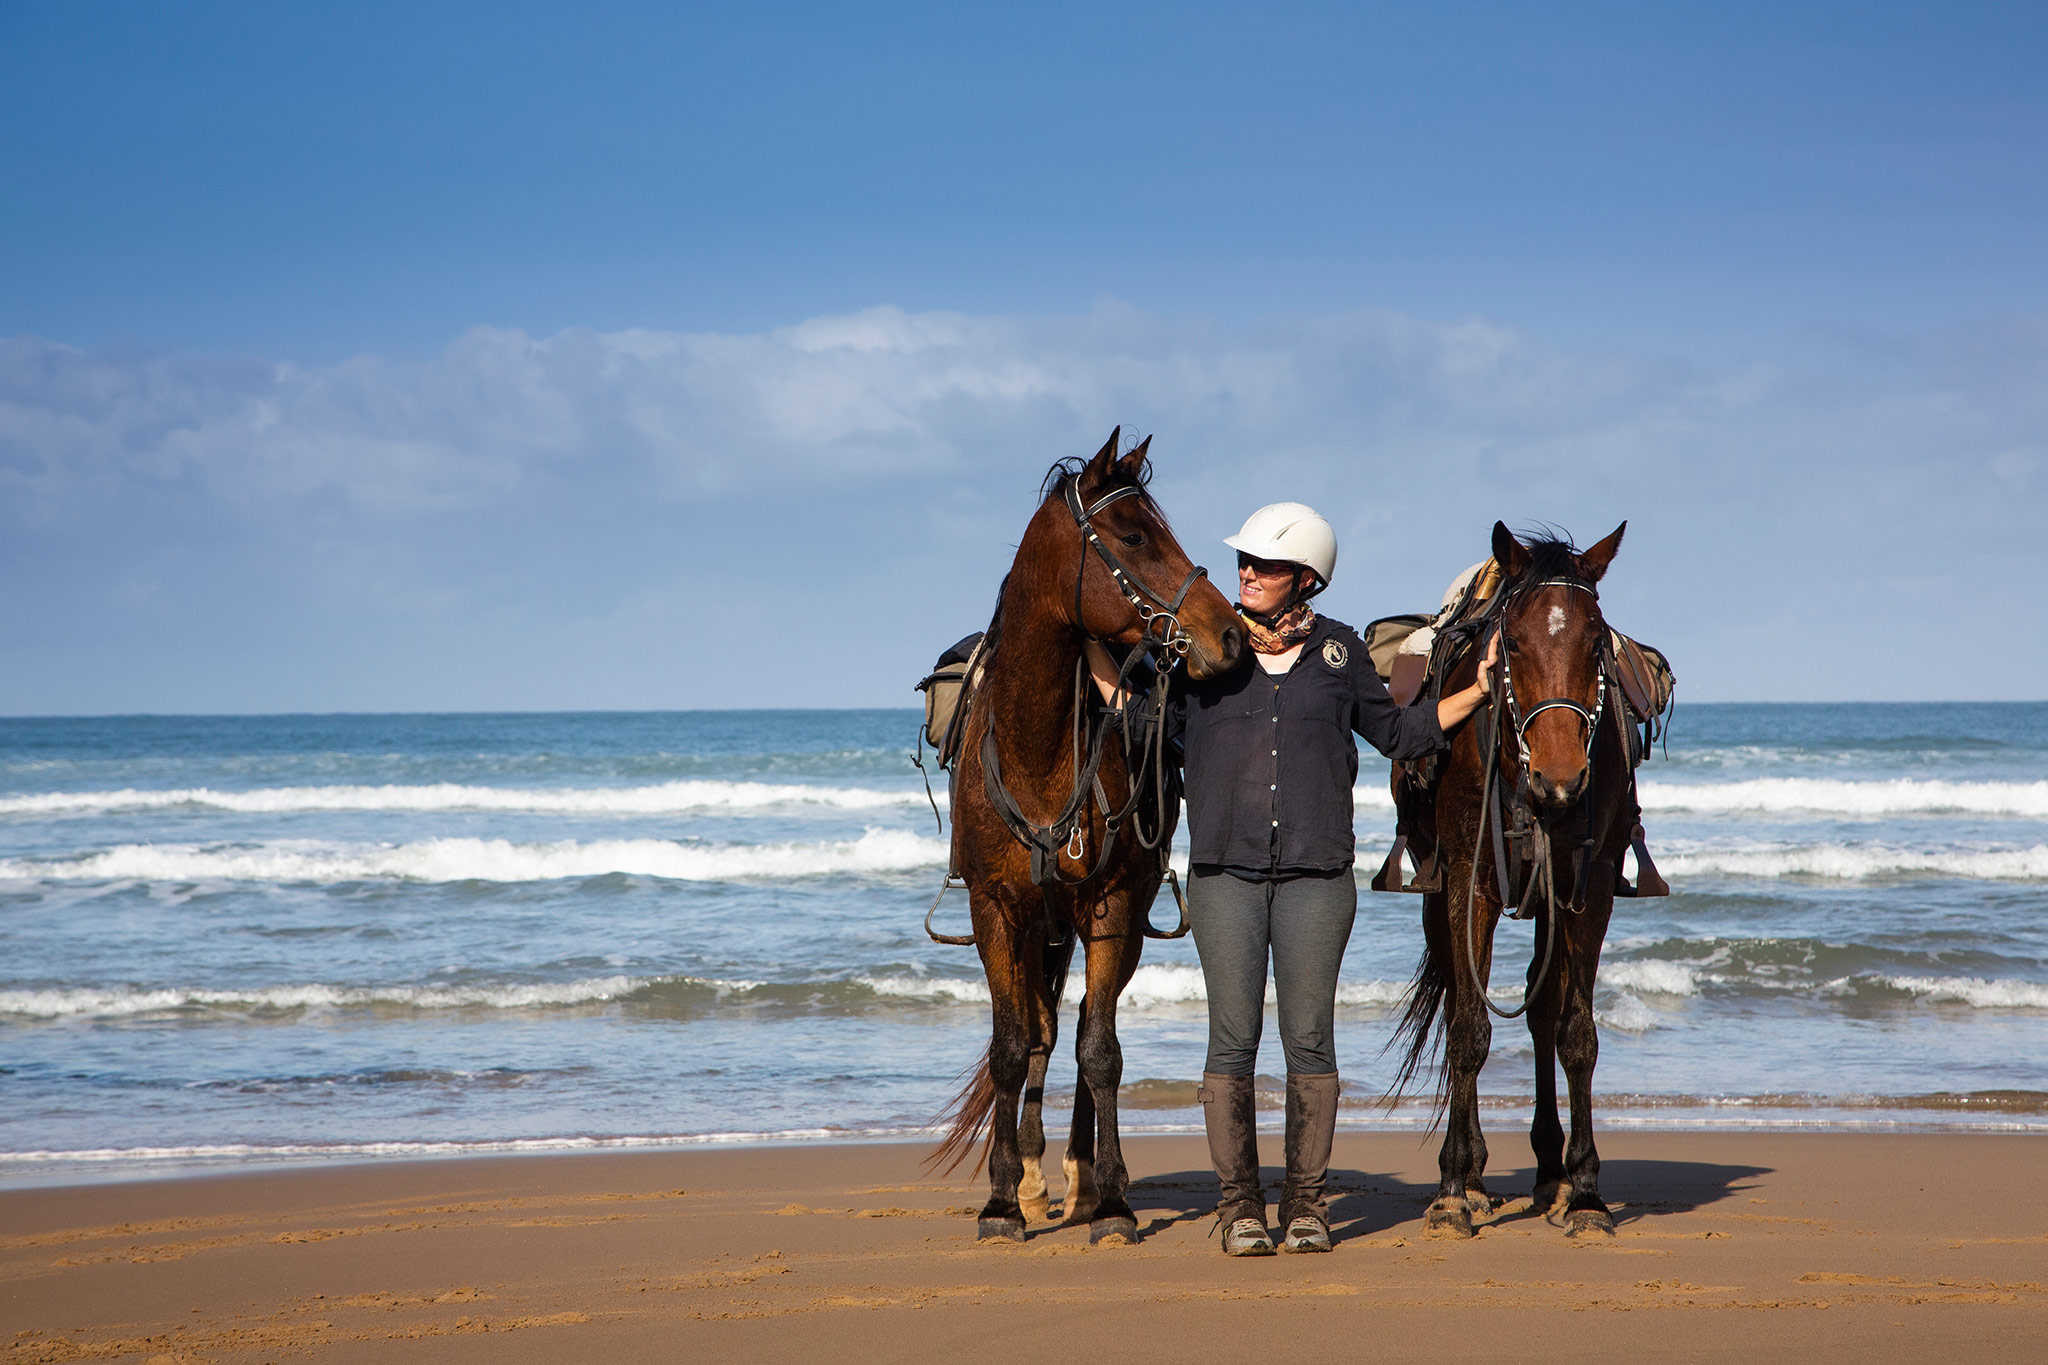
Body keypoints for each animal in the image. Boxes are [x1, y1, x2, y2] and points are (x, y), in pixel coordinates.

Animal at [937, 431, 1236, 1244]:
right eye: (1134, 537)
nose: (1230, 634)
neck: (1037, 749)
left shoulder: (1110, 906)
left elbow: (1099, 1050)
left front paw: (1114, 1201)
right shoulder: (995, 911)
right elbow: (1012, 1048)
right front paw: (1003, 1200)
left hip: (1106, 924)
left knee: (1079, 1028)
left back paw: (1078, 1175)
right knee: (1043, 1028)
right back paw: (1038, 1177)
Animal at [1392, 519, 1630, 1236]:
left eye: (1596, 639)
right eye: (1514, 642)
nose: (1561, 778)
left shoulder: (1589, 885)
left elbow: (1576, 1033)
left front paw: (1586, 1192)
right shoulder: (1470, 882)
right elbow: (1469, 1028)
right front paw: (1453, 1188)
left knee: (1543, 1006)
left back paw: (1552, 1171)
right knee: (1459, 1004)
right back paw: (1469, 1174)